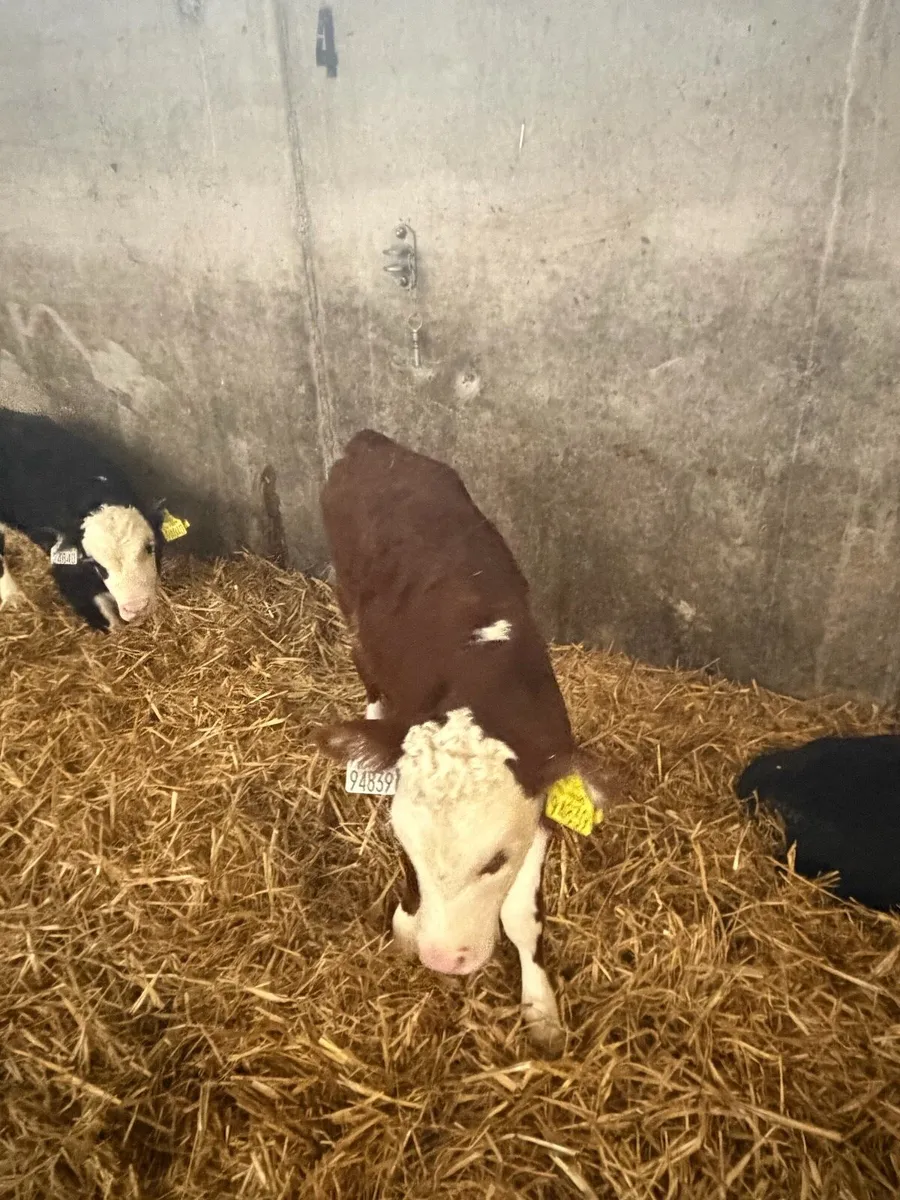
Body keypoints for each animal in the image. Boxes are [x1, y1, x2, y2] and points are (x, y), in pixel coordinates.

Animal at [314, 429, 618, 1054]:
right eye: (404, 845)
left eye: (496, 859)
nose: (443, 960)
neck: (480, 670)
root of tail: (371, 442)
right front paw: (407, 931)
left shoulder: (545, 798)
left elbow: (523, 918)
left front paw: (541, 1011)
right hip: (348, 598)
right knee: (363, 661)